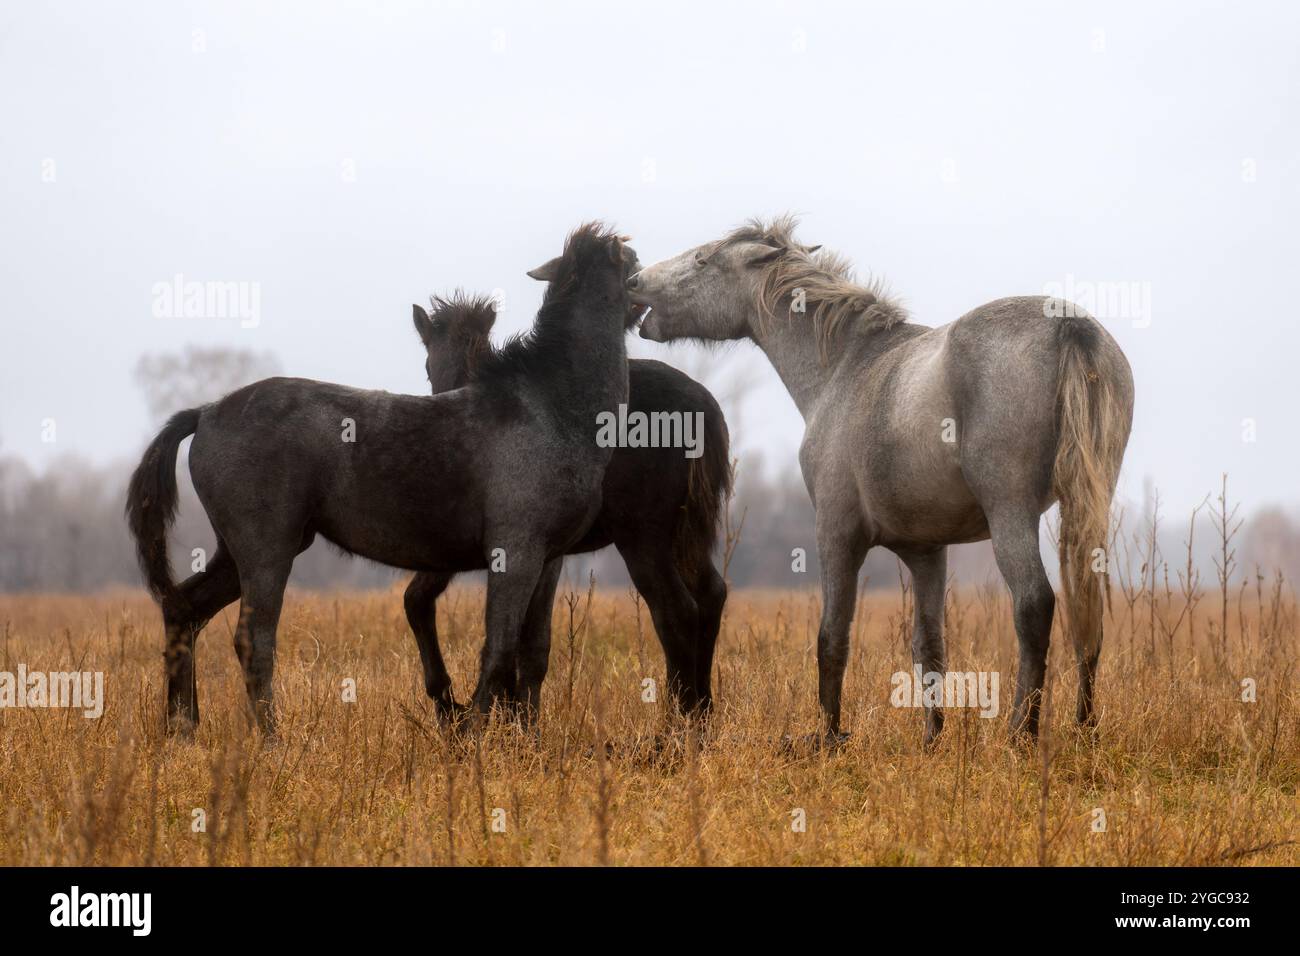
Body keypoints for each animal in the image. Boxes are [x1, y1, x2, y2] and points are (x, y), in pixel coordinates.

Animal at [126, 223, 639, 735]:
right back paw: (270, 740)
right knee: (254, 640)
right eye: (631, 267)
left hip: (239, 552)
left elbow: (532, 651)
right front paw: (473, 732)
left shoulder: (548, 559)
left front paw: (519, 734)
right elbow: (498, 651)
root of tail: (207, 412)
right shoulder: (514, 554)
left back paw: (183, 729)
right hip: (265, 553)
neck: (549, 405)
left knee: (184, 611)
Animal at [407, 291, 731, 718]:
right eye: (429, 366)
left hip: (644, 537)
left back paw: (675, 723)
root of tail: (702, 407)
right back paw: (703, 713)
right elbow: (531, 640)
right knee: (711, 595)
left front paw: (455, 706)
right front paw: (517, 718)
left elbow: (419, 601)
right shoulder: (543, 552)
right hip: (684, 535)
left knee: (676, 612)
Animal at [627, 215, 1134, 746]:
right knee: (1087, 612)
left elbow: (832, 638)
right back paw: (1084, 726)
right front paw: (932, 741)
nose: (634, 282)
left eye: (703, 260)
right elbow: (929, 647)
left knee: (1035, 604)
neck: (846, 369)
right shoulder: (927, 552)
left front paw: (829, 738)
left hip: (1010, 513)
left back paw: (1021, 733)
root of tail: (1067, 325)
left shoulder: (836, 535)